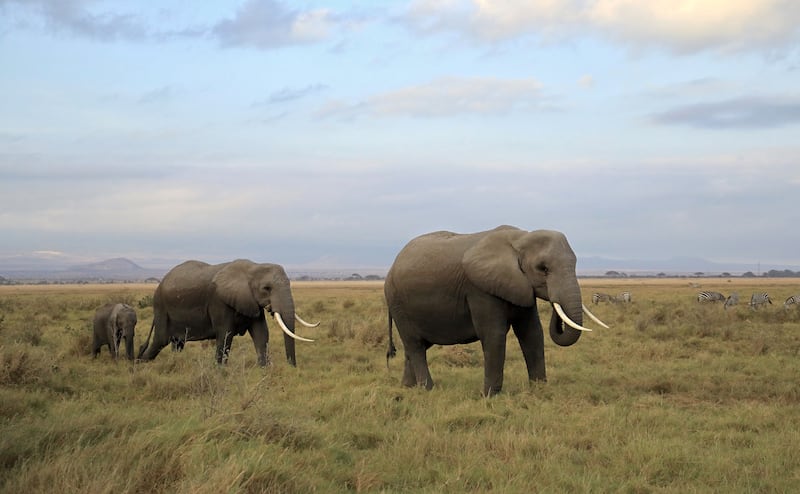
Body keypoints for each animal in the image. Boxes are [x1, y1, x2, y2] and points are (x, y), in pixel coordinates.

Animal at [137, 259, 317, 366]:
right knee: (160, 341)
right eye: (266, 288)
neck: (253, 267)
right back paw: (141, 364)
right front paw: (220, 372)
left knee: (177, 343)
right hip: (161, 307)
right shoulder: (219, 302)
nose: (292, 367)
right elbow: (225, 335)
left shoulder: (251, 302)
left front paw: (264, 371)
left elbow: (261, 333)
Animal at [384, 225, 608, 396]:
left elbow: (532, 333)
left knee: (416, 346)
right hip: (397, 302)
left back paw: (407, 388)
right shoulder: (480, 289)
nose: (555, 303)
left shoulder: (520, 285)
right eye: (543, 268)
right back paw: (428, 390)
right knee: (415, 345)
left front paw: (539, 390)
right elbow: (494, 335)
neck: (520, 238)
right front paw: (490, 396)